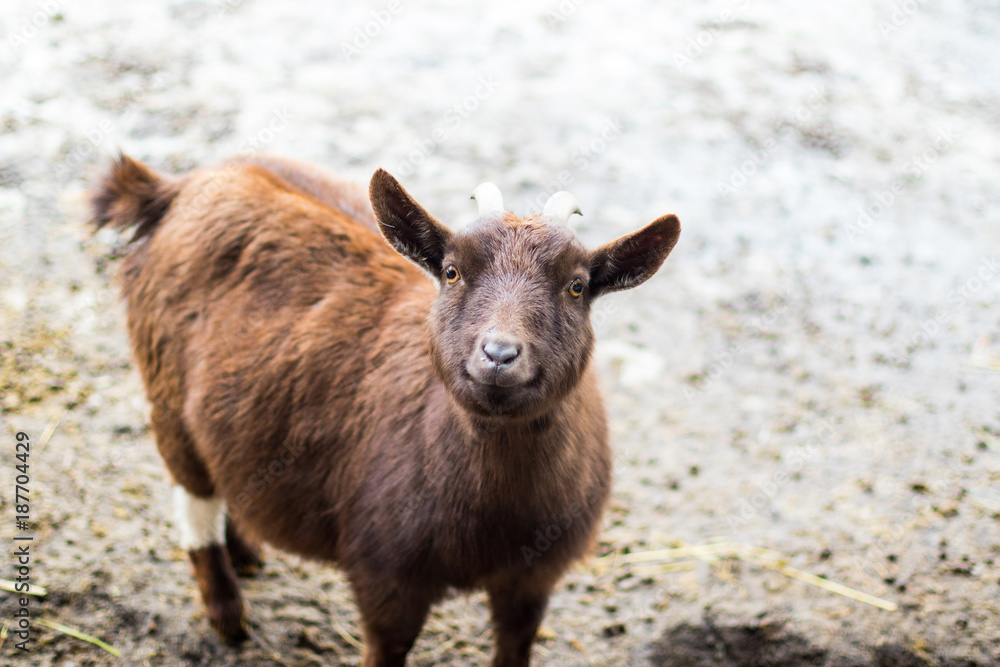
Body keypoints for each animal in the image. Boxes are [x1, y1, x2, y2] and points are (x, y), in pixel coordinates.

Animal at [92, 153, 680, 667]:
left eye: (577, 285)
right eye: (451, 272)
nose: (498, 354)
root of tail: (174, 188)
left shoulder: (532, 580)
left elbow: (514, 649)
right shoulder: (385, 574)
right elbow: (386, 648)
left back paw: (248, 553)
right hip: (166, 393)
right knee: (193, 498)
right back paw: (228, 616)